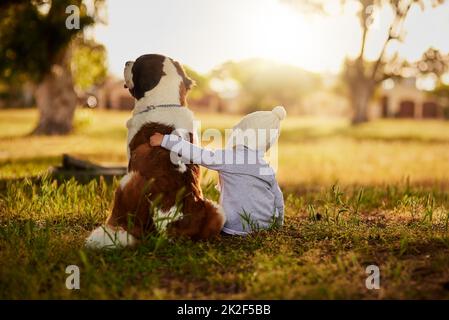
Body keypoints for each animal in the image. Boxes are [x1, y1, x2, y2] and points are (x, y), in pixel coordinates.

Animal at [85, 53, 224, 249]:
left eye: (136, 64)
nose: (127, 62)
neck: (166, 103)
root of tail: (171, 225)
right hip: (217, 210)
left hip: (128, 180)